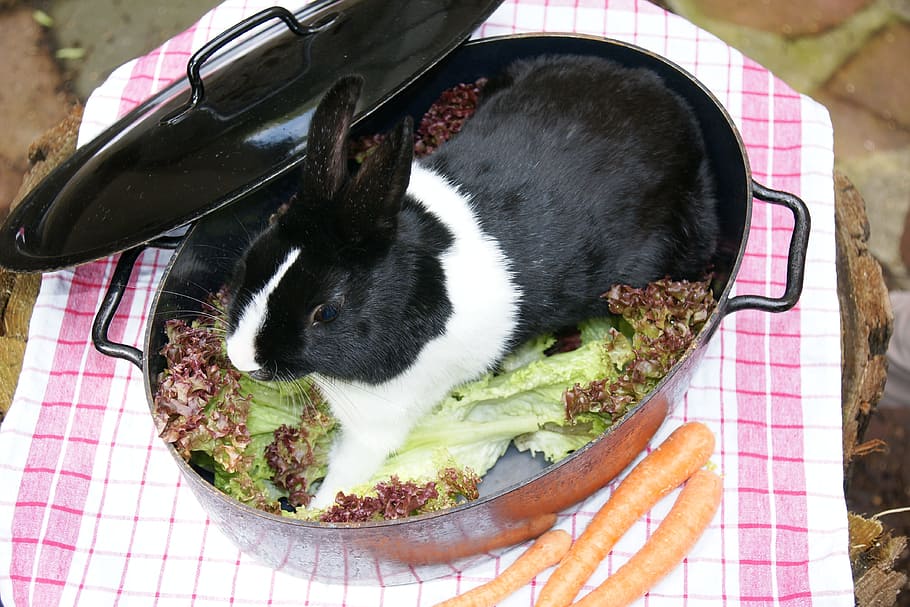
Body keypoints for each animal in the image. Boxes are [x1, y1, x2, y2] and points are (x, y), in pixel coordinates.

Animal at [224, 54, 719, 509]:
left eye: (325, 312)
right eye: (250, 258)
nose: (242, 358)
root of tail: (673, 107)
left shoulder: (378, 422)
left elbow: (347, 470)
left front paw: (320, 509)